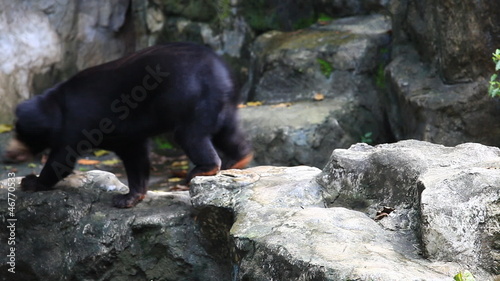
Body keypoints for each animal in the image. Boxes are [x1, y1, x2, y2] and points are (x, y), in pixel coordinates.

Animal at [4, 42, 254, 207]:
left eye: (19, 132)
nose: (8, 154)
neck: (56, 108)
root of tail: (224, 73)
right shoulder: (127, 135)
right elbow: (136, 157)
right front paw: (128, 197)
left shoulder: (78, 124)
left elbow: (62, 159)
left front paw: (30, 181)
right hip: (220, 104)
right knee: (229, 133)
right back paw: (238, 159)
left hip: (190, 98)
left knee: (190, 136)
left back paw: (201, 170)